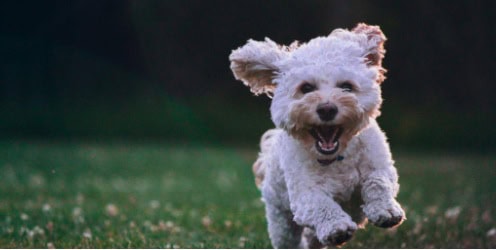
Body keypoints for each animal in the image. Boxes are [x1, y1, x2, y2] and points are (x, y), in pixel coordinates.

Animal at [231, 23, 404, 248]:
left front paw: (386, 210)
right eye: (306, 88)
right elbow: (321, 204)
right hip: (281, 220)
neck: (336, 158)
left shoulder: (379, 165)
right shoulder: (304, 194)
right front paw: (336, 227)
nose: (327, 109)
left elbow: (378, 182)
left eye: (347, 86)